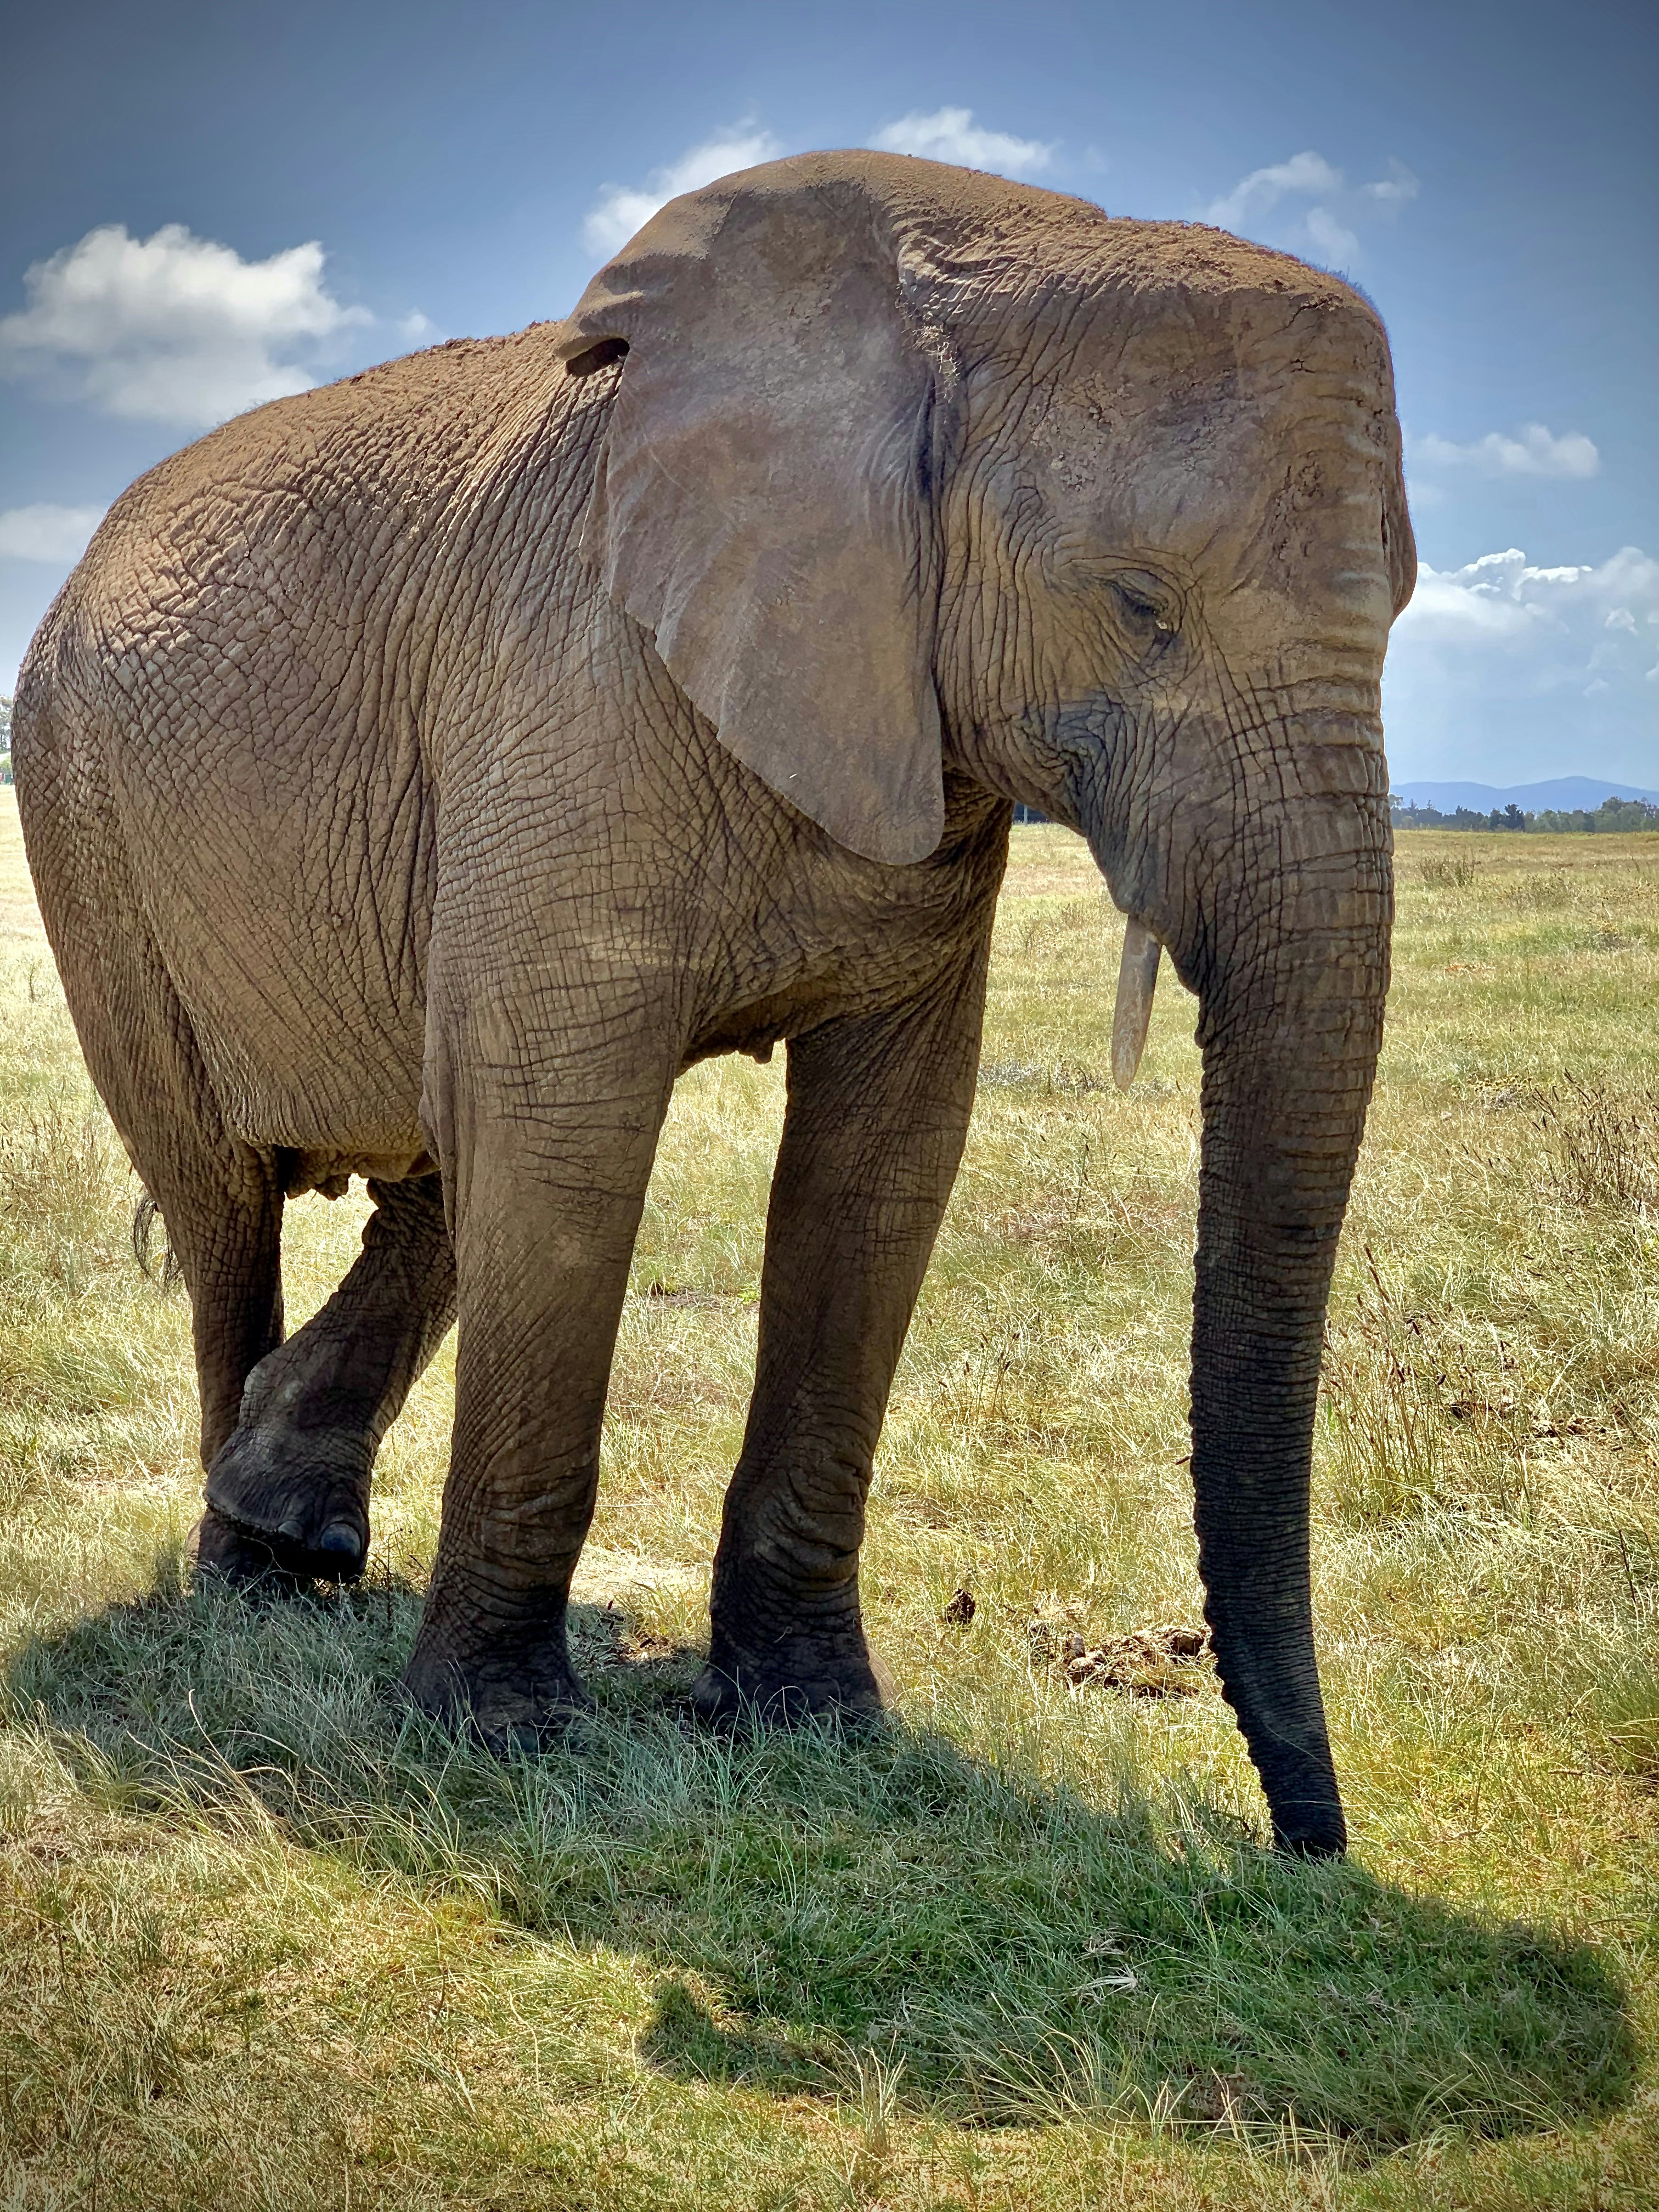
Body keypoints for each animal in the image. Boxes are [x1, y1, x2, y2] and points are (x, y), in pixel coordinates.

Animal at [12, 150, 1413, 1857]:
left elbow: (879, 1164)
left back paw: (293, 1525)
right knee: (226, 1199)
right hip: (82, 814)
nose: (1307, 1849)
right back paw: (244, 1586)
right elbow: (571, 1140)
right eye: (1139, 605)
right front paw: (498, 1739)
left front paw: (813, 1722)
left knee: (438, 1163)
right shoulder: (571, 687)